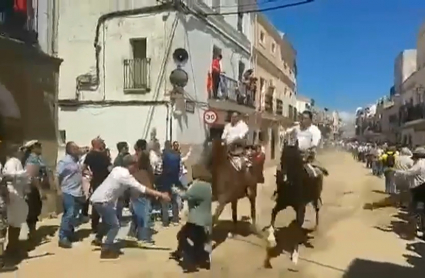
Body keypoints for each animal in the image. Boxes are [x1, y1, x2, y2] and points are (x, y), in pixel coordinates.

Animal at [262, 138, 328, 268]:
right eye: (283, 157)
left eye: (295, 159)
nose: (285, 179)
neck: (292, 186)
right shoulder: (282, 203)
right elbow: (273, 213)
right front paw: (271, 239)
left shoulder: (299, 208)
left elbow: (297, 228)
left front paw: (295, 257)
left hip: (314, 199)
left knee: (317, 211)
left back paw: (316, 227)